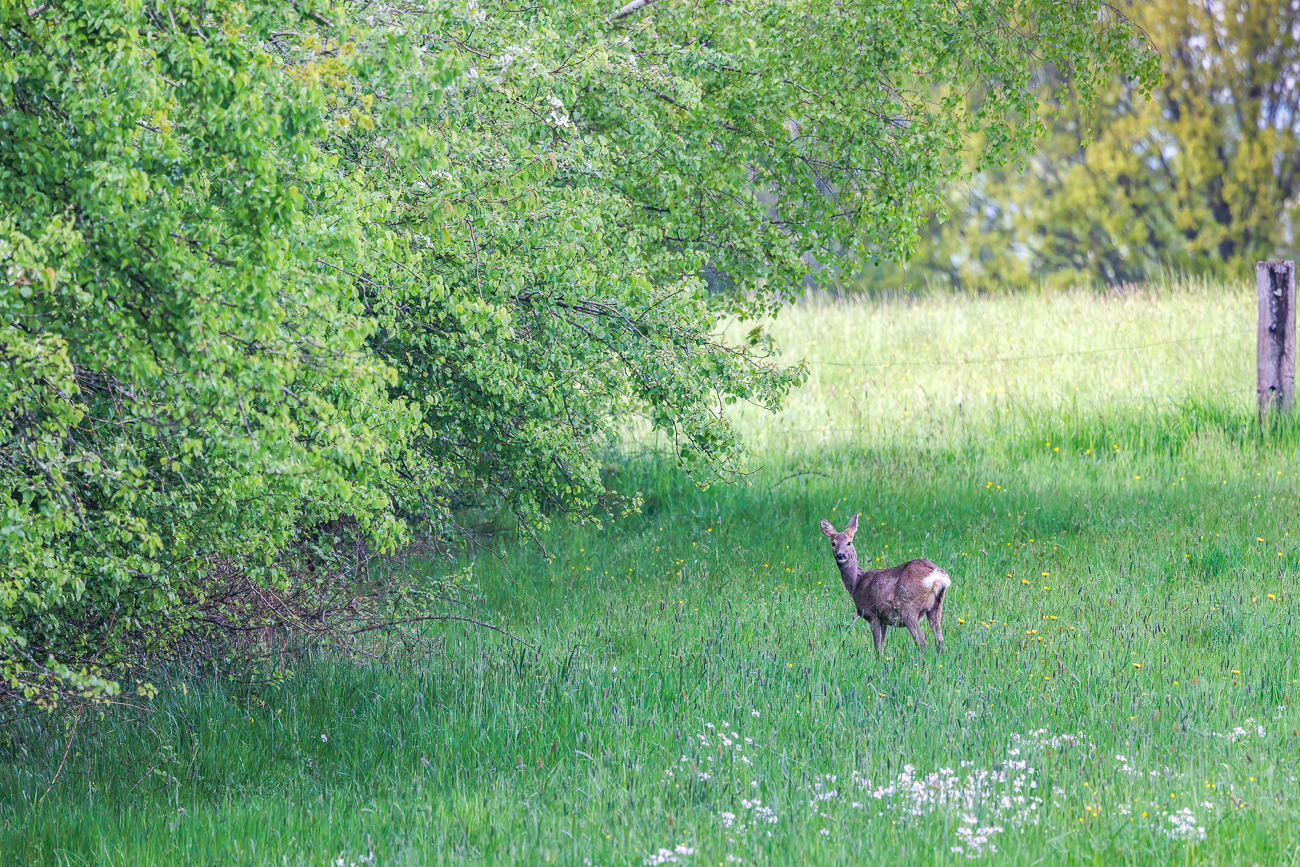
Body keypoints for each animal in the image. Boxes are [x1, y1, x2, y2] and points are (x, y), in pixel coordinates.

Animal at [820, 512, 950, 657]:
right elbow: (881, 646)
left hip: (908, 607)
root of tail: (937, 575)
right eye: (833, 543)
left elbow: (877, 647)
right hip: (936, 606)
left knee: (922, 641)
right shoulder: (884, 619)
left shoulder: (872, 614)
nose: (840, 555)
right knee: (939, 639)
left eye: (849, 542)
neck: (856, 583)